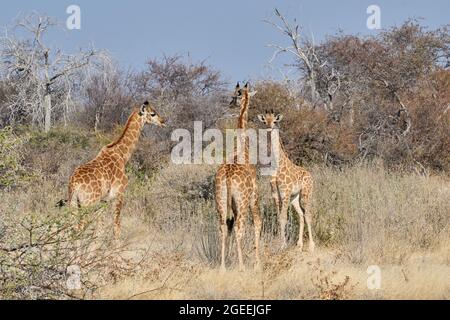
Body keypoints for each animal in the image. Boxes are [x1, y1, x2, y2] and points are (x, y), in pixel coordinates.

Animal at [256, 111, 316, 251]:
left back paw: (311, 246)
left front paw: (283, 244)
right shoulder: (275, 194)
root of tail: (310, 175)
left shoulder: (285, 193)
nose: (269, 127)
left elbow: (283, 217)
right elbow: (280, 218)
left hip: (306, 194)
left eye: (275, 121)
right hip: (295, 197)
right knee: (301, 215)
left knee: (308, 215)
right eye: (265, 121)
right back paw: (299, 245)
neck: (278, 165)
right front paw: (281, 242)